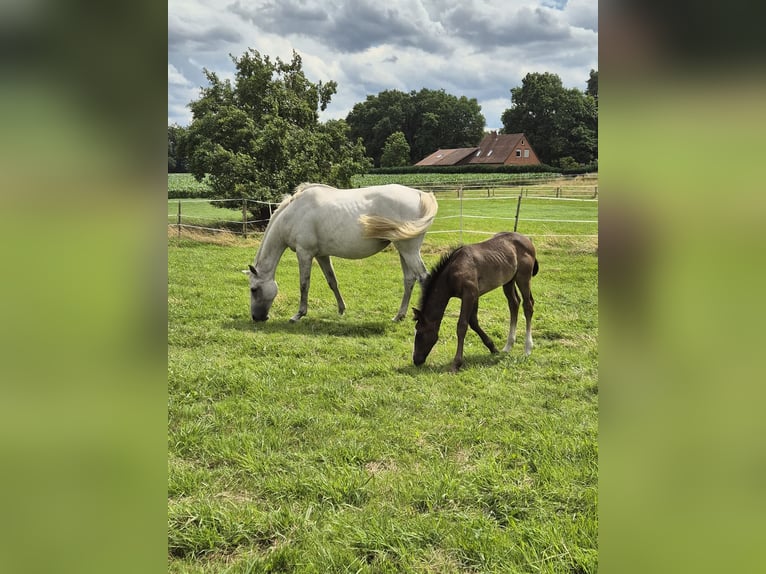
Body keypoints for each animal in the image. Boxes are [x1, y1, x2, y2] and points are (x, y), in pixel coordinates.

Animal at [244, 183, 438, 324]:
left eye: (254, 289)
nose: (257, 318)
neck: (294, 213)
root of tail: (419, 194)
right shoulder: (321, 255)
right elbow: (332, 281)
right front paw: (341, 309)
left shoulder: (304, 253)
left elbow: (304, 284)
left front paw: (298, 315)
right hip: (403, 251)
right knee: (409, 280)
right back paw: (399, 316)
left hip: (409, 250)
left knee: (423, 277)